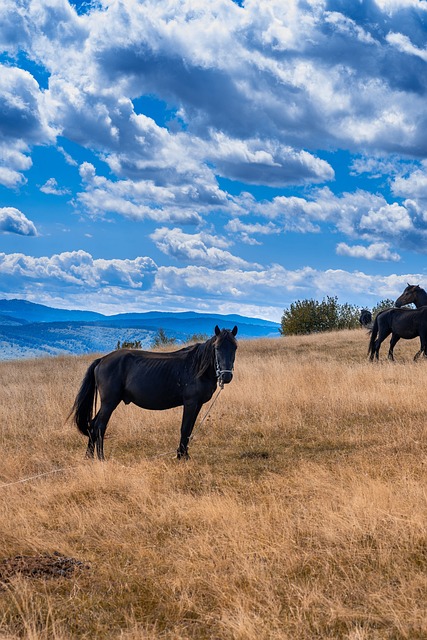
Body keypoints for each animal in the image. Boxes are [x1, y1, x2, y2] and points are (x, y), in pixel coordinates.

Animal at [70, 324, 237, 460]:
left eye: (234, 348)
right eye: (217, 348)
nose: (226, 376)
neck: (196, 367)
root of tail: (102, 360)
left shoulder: (198, 404)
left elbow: (189, 429)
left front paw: (184, 454)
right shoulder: (190, 403)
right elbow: (184, 428)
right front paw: (181, 456)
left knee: (92, 425)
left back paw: (89, 457)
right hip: (109, 402)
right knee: (100, 426)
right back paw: (101, 458)